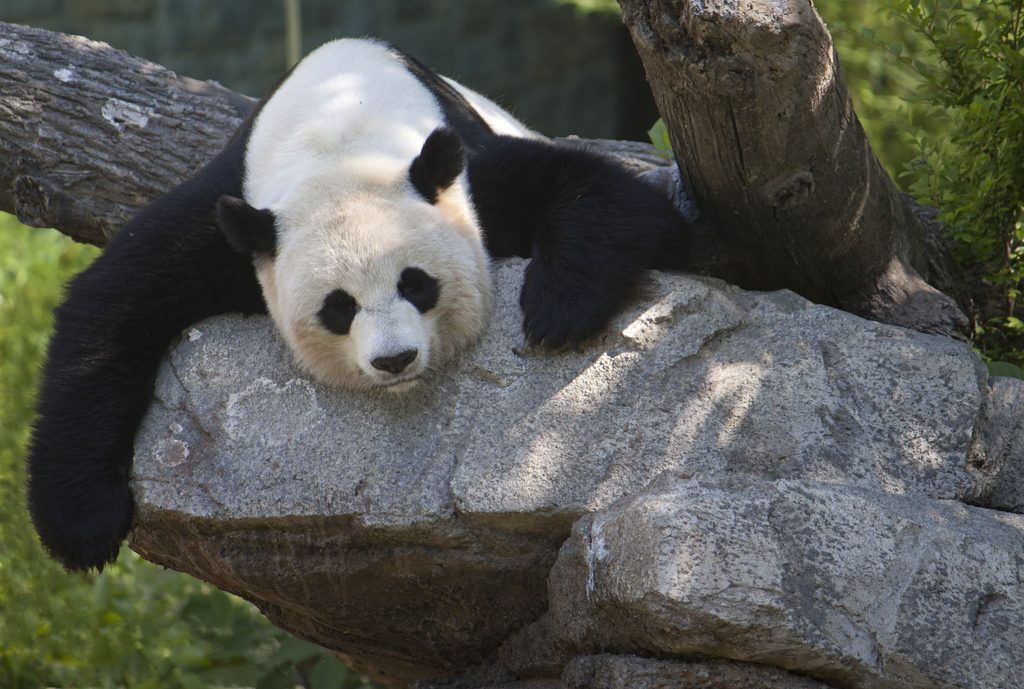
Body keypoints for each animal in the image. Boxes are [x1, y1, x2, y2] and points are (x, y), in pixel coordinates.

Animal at [27, 38, 690, 572]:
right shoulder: (237, 216)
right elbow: (111, 306)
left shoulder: (465, 178)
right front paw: (81, 526)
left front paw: (558, 309)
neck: (341, 127)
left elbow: (606, 192)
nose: (395, 360)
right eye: (338, 308)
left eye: (416, 284)